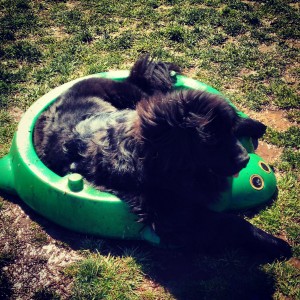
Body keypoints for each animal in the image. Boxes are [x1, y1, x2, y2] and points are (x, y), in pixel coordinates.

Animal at [34, 57, 290, 258]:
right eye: (211, 141)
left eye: (226, 134)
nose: (245, 160)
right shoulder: (172, 214)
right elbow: (231, 222)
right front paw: (275, 244)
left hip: (138, 99)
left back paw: (254, 124)